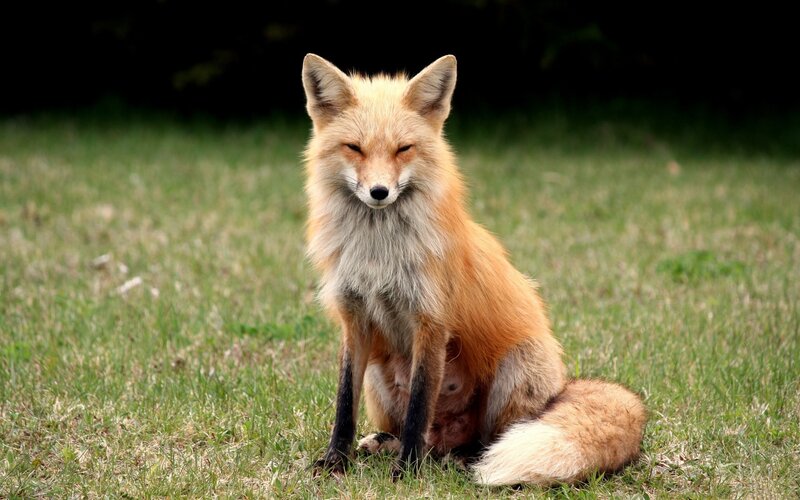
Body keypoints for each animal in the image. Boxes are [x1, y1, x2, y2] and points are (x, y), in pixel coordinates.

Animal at [302, 53, 646, 486]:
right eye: (355, 149)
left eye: (403, 149)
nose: (379, 192)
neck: (379, 254)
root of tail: (561, 387)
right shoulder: (355, 319)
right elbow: (344, 405)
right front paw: (335, 461)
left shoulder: (430, 322)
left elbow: (418, 408)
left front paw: (407, 472)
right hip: (379, 378)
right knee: (425, 437)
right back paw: (390, 444)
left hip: (517, 367)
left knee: (484, 439)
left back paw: (464, 459)